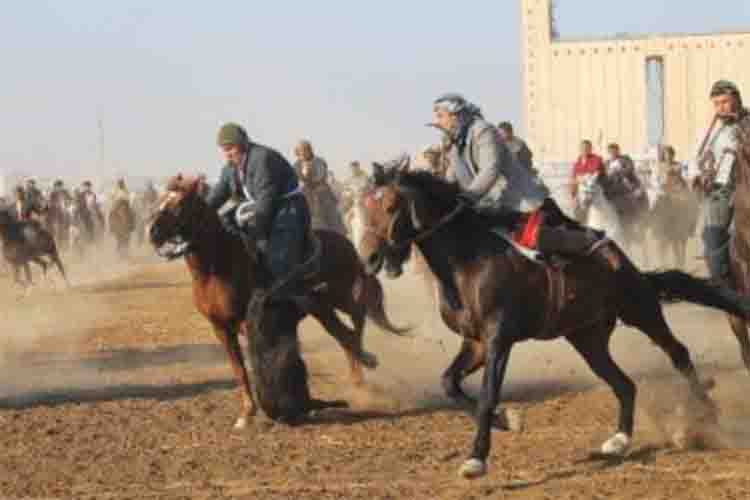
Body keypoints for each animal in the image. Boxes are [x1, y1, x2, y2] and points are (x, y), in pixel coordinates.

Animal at [150, 176, 408, 430]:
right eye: (161, 200)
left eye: (180, 204)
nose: (151, 231)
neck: (216, 268)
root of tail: (347, 245)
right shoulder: (221, 329)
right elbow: (240, 369)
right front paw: (246, 414)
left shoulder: (251, 321)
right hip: (323, 309)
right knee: (344, 335)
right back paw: (357, 380)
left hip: (342, 297)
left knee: (358, 318)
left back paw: (366, 361)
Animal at [362, 166, 750, 478]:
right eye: (366, 207)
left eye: (391, 206)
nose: (369, 257)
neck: (468, 262)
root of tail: (628, 265)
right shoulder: (475, 343)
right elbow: (449, 384)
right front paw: (507, 420)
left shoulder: (499, 340)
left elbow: (487, 395)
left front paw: (477, 458)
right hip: (587, 339)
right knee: (625, 385)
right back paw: (619, 440)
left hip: (640, 310)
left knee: (678, 353)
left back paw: (708, 415)